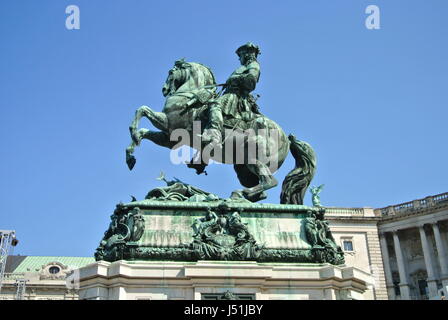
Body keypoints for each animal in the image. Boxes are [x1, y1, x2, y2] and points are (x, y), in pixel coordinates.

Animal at [126, 60, 316, 202]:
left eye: (170, 72)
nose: (164, 90)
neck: (189, 94)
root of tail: (287, 138)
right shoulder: (169, 139)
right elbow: (143, 130)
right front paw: (130, 153)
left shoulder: (169, 124)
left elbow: (142, 109)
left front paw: (133, 134)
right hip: (244, 170)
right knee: (262, 189)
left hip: (253, 157)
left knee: (269, 181)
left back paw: (238, 194)